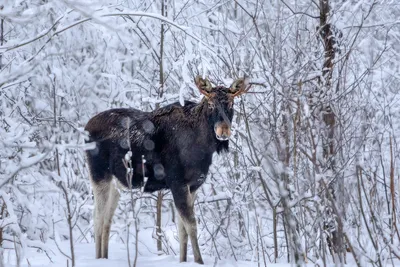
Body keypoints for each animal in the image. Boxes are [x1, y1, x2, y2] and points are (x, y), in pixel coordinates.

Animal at [85, 75, 250, 264]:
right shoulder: (177, 183)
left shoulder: (193, 186)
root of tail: (86, 127)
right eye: (211, 104)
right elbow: (191, 225)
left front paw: (184, 260)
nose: (223, 131)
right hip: (99, 175)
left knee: (107, 219)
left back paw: (104, 257)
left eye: (231, 104)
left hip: (117, 183)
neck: (204, 147)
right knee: (97, 217)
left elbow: (182, 229)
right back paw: (98, 258)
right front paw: (199, 261)